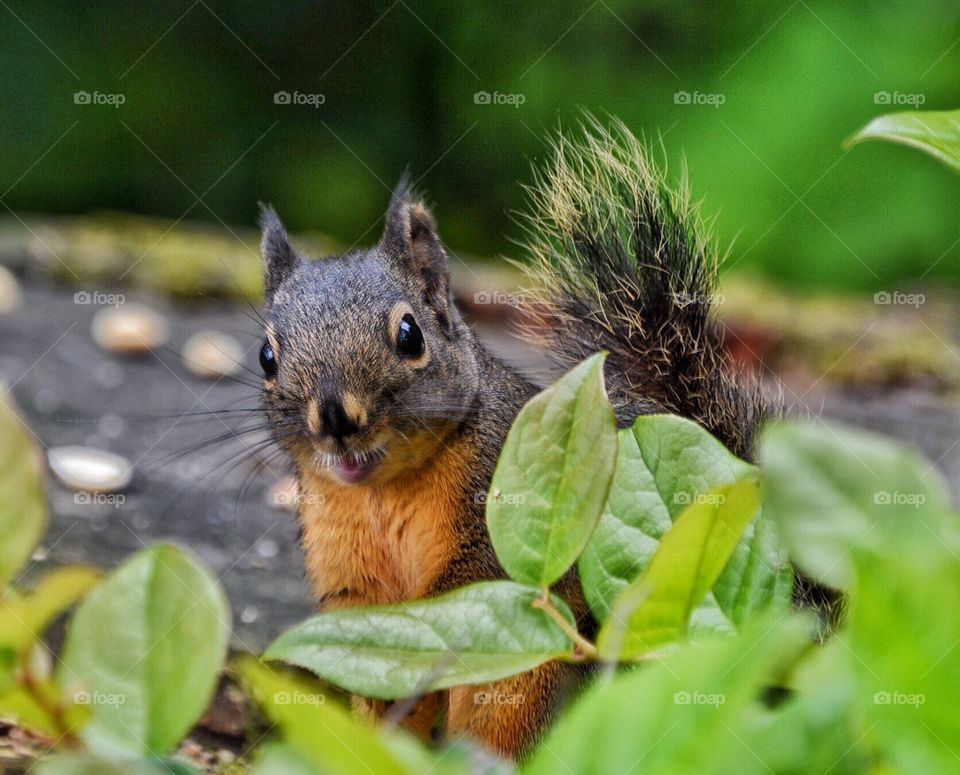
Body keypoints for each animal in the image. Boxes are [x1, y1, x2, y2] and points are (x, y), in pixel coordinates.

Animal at [257, 119, 764, 758]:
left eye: (409, 335)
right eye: (266, 356)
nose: (335, 419)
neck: (381, 491)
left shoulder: (497, 502)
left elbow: (470, 584)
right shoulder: (345, 572)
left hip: (525, 687)